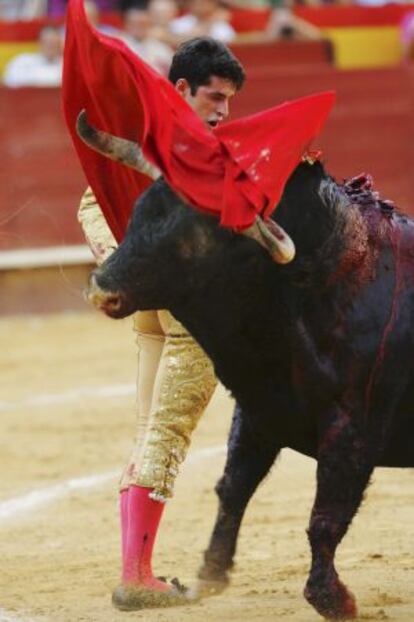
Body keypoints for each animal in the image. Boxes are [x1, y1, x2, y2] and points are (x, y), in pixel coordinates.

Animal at [85, 163, 412, 620]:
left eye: (192, 235)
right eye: (134, 216)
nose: (102, 286)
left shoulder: (353, 426)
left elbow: (326, 516)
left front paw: (333, 599)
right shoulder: (260, 412)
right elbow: (233, 488)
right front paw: (210, 574)